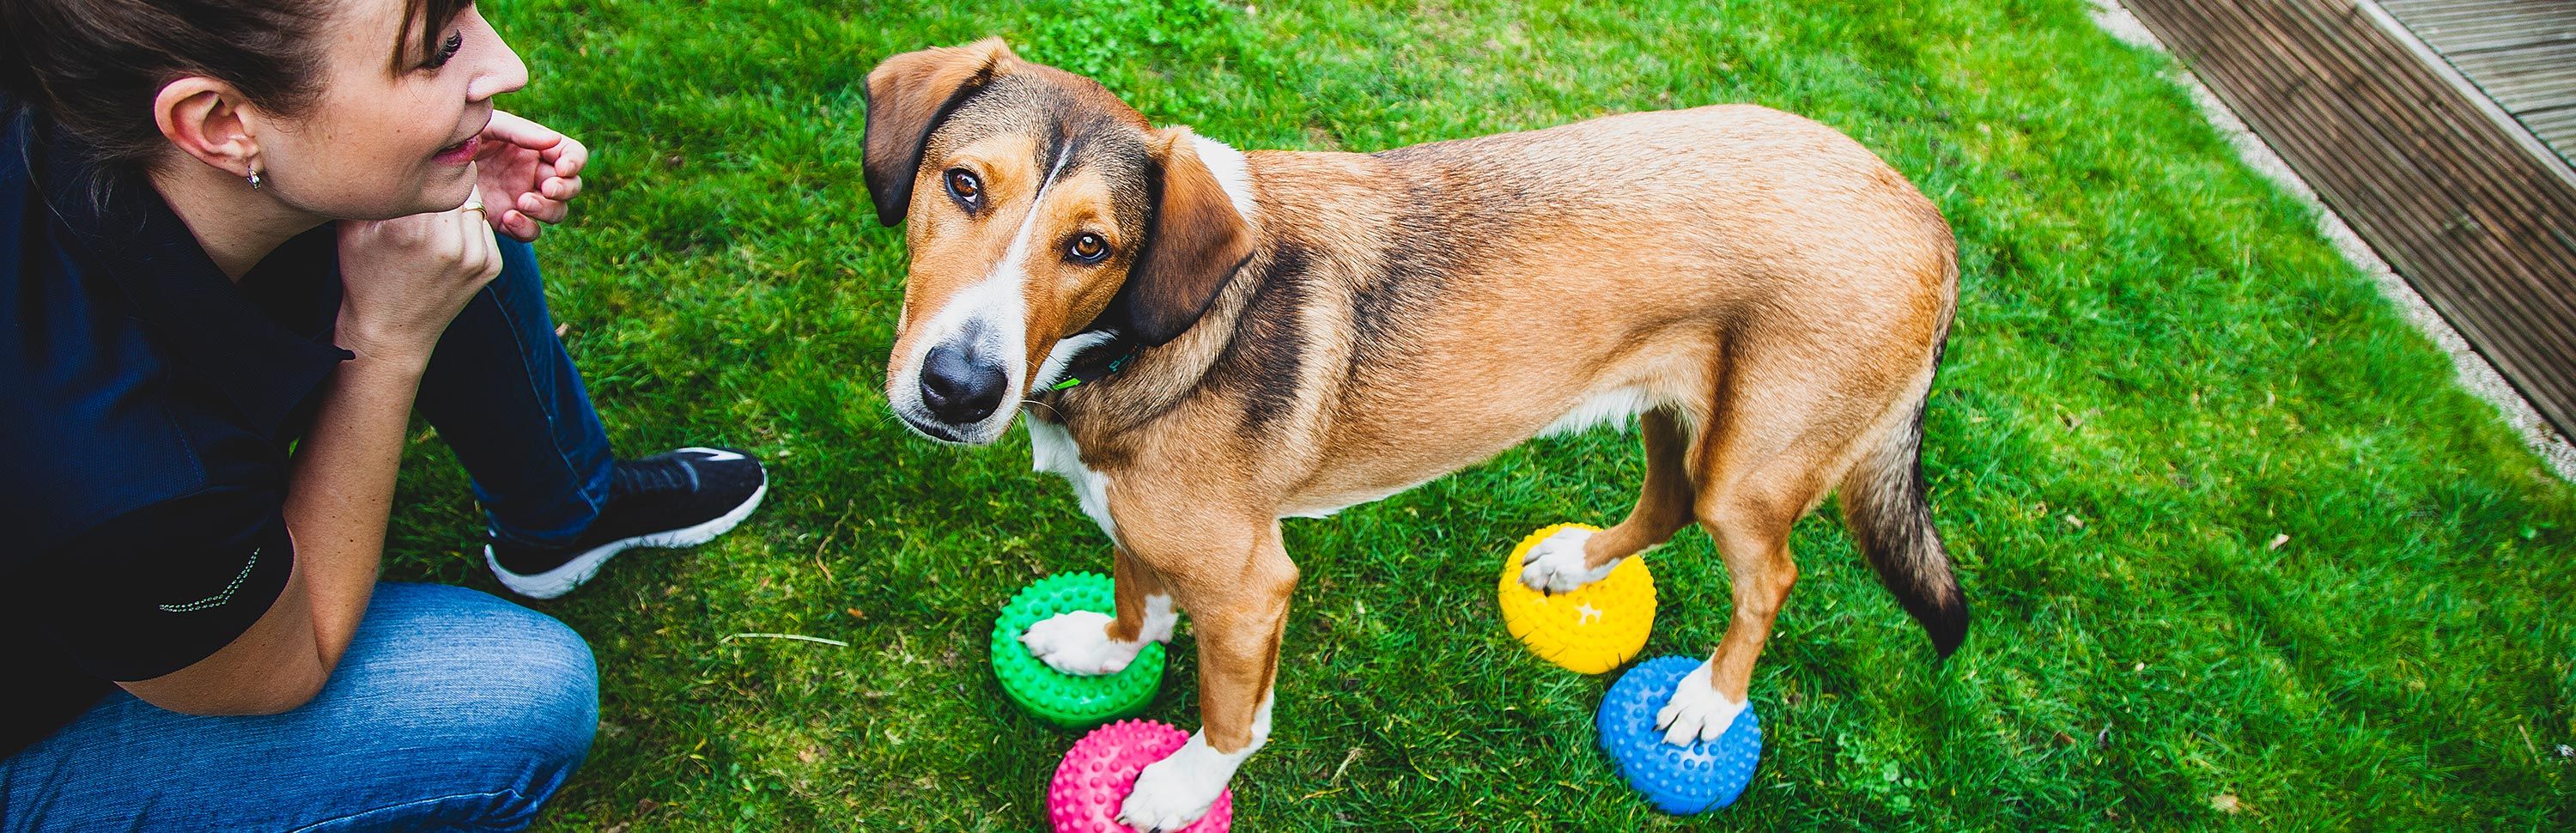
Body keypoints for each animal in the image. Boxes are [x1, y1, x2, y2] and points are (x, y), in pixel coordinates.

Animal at [862, 38, 1966, 830]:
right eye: (964, 185)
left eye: (1091, 246)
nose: (959, 388)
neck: (1132, 340)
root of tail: (1928, 217)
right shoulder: (1136, 521)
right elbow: (1141, 595)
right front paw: (1104, 646)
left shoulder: (1253, 587)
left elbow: (1230, 717)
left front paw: (1181, 786)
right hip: (1676, 413)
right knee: (1666, 504)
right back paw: (1574, 565)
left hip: (1750, 467)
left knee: (1768, 576)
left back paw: (1710, 701)